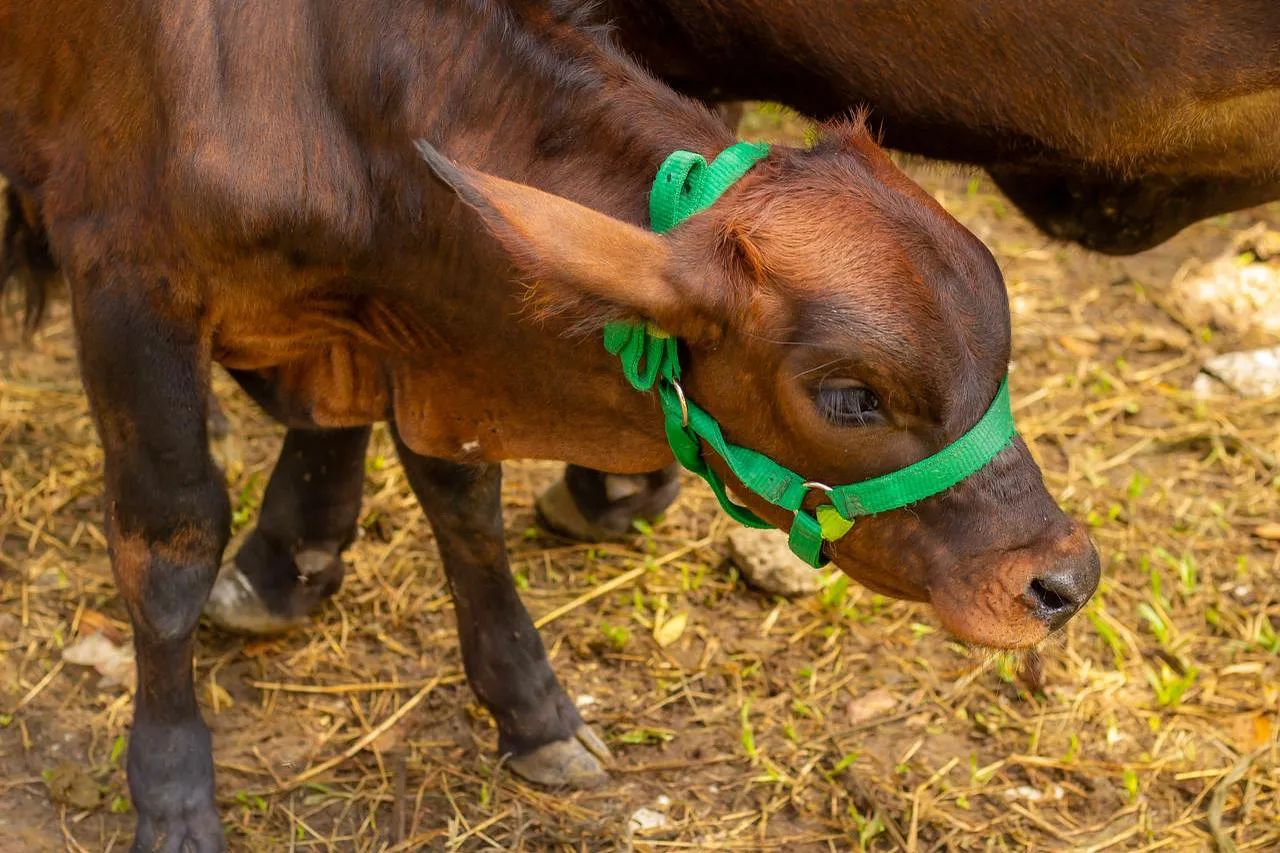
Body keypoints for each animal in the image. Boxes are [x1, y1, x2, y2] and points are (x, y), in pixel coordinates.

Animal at [0, 2, 1098, 847]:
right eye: (849, 397)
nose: (1063, 579)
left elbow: (462, 501)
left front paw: (531, 711)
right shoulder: (128, 287)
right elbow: (170, 547)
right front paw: (173, 795)